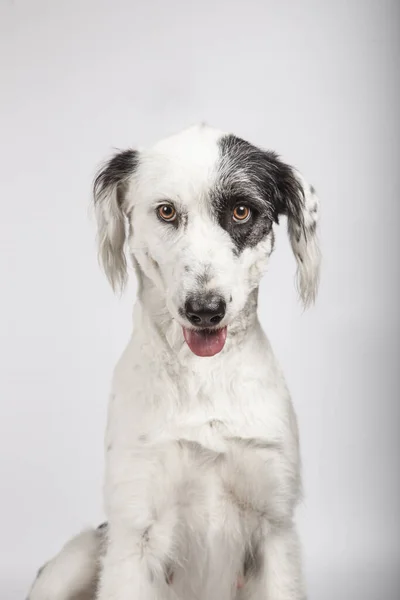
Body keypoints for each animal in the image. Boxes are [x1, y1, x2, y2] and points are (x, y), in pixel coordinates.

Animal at [28, 123, 320, 600]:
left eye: (241, 211)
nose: (204, 309)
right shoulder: (134, 530)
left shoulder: (275, 528)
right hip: (79, 555)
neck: (204, 378)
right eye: (166, 211)